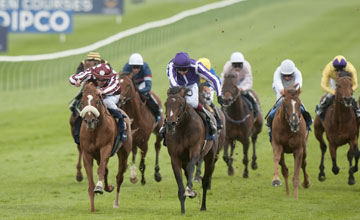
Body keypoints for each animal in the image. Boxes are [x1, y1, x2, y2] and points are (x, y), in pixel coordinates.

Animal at [79, 82, 132, 211]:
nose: (89, 121)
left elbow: (101, 170)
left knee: (119, 177)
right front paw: (92, 207)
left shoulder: (105, 148)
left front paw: (99, 187)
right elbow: (91, 180)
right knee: (107, 171)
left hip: (124, 152)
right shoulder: (87, 154)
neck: (94, 131)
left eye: (97, 101)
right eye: (82, 102)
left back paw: (116, 202)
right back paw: (109, 187)